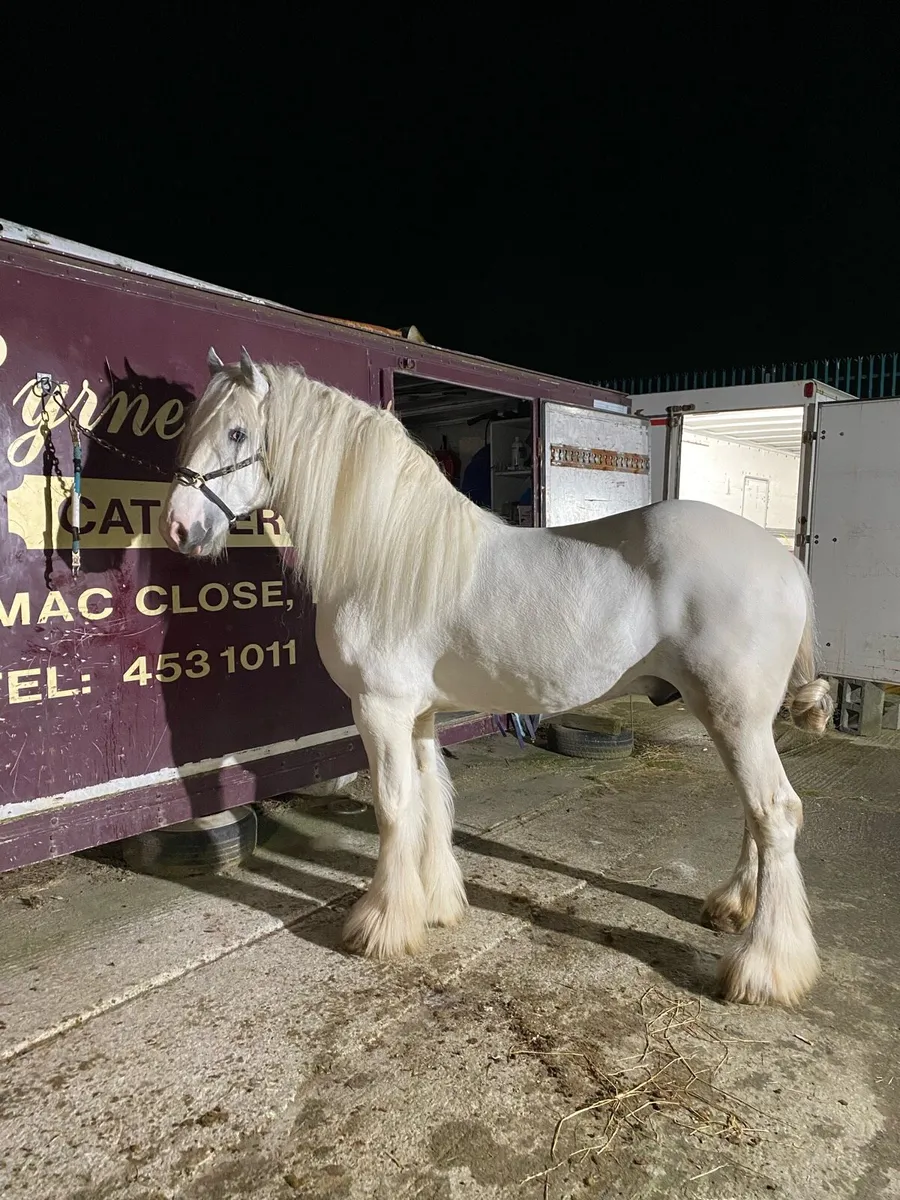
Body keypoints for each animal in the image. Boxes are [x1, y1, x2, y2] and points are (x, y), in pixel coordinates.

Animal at [160, 347, 834, 1007]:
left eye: (237, 431)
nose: (178, 526)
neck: (384, 555)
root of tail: (784, 562)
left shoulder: (380, 709)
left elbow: (393, 808)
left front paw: (382, 925)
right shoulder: (419, 712)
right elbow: (431, 799)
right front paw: (435, 906)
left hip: (733, 716)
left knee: (776, 812)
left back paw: (764, 968)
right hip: (742, 721)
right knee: (755, 813)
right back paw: (732, 906)